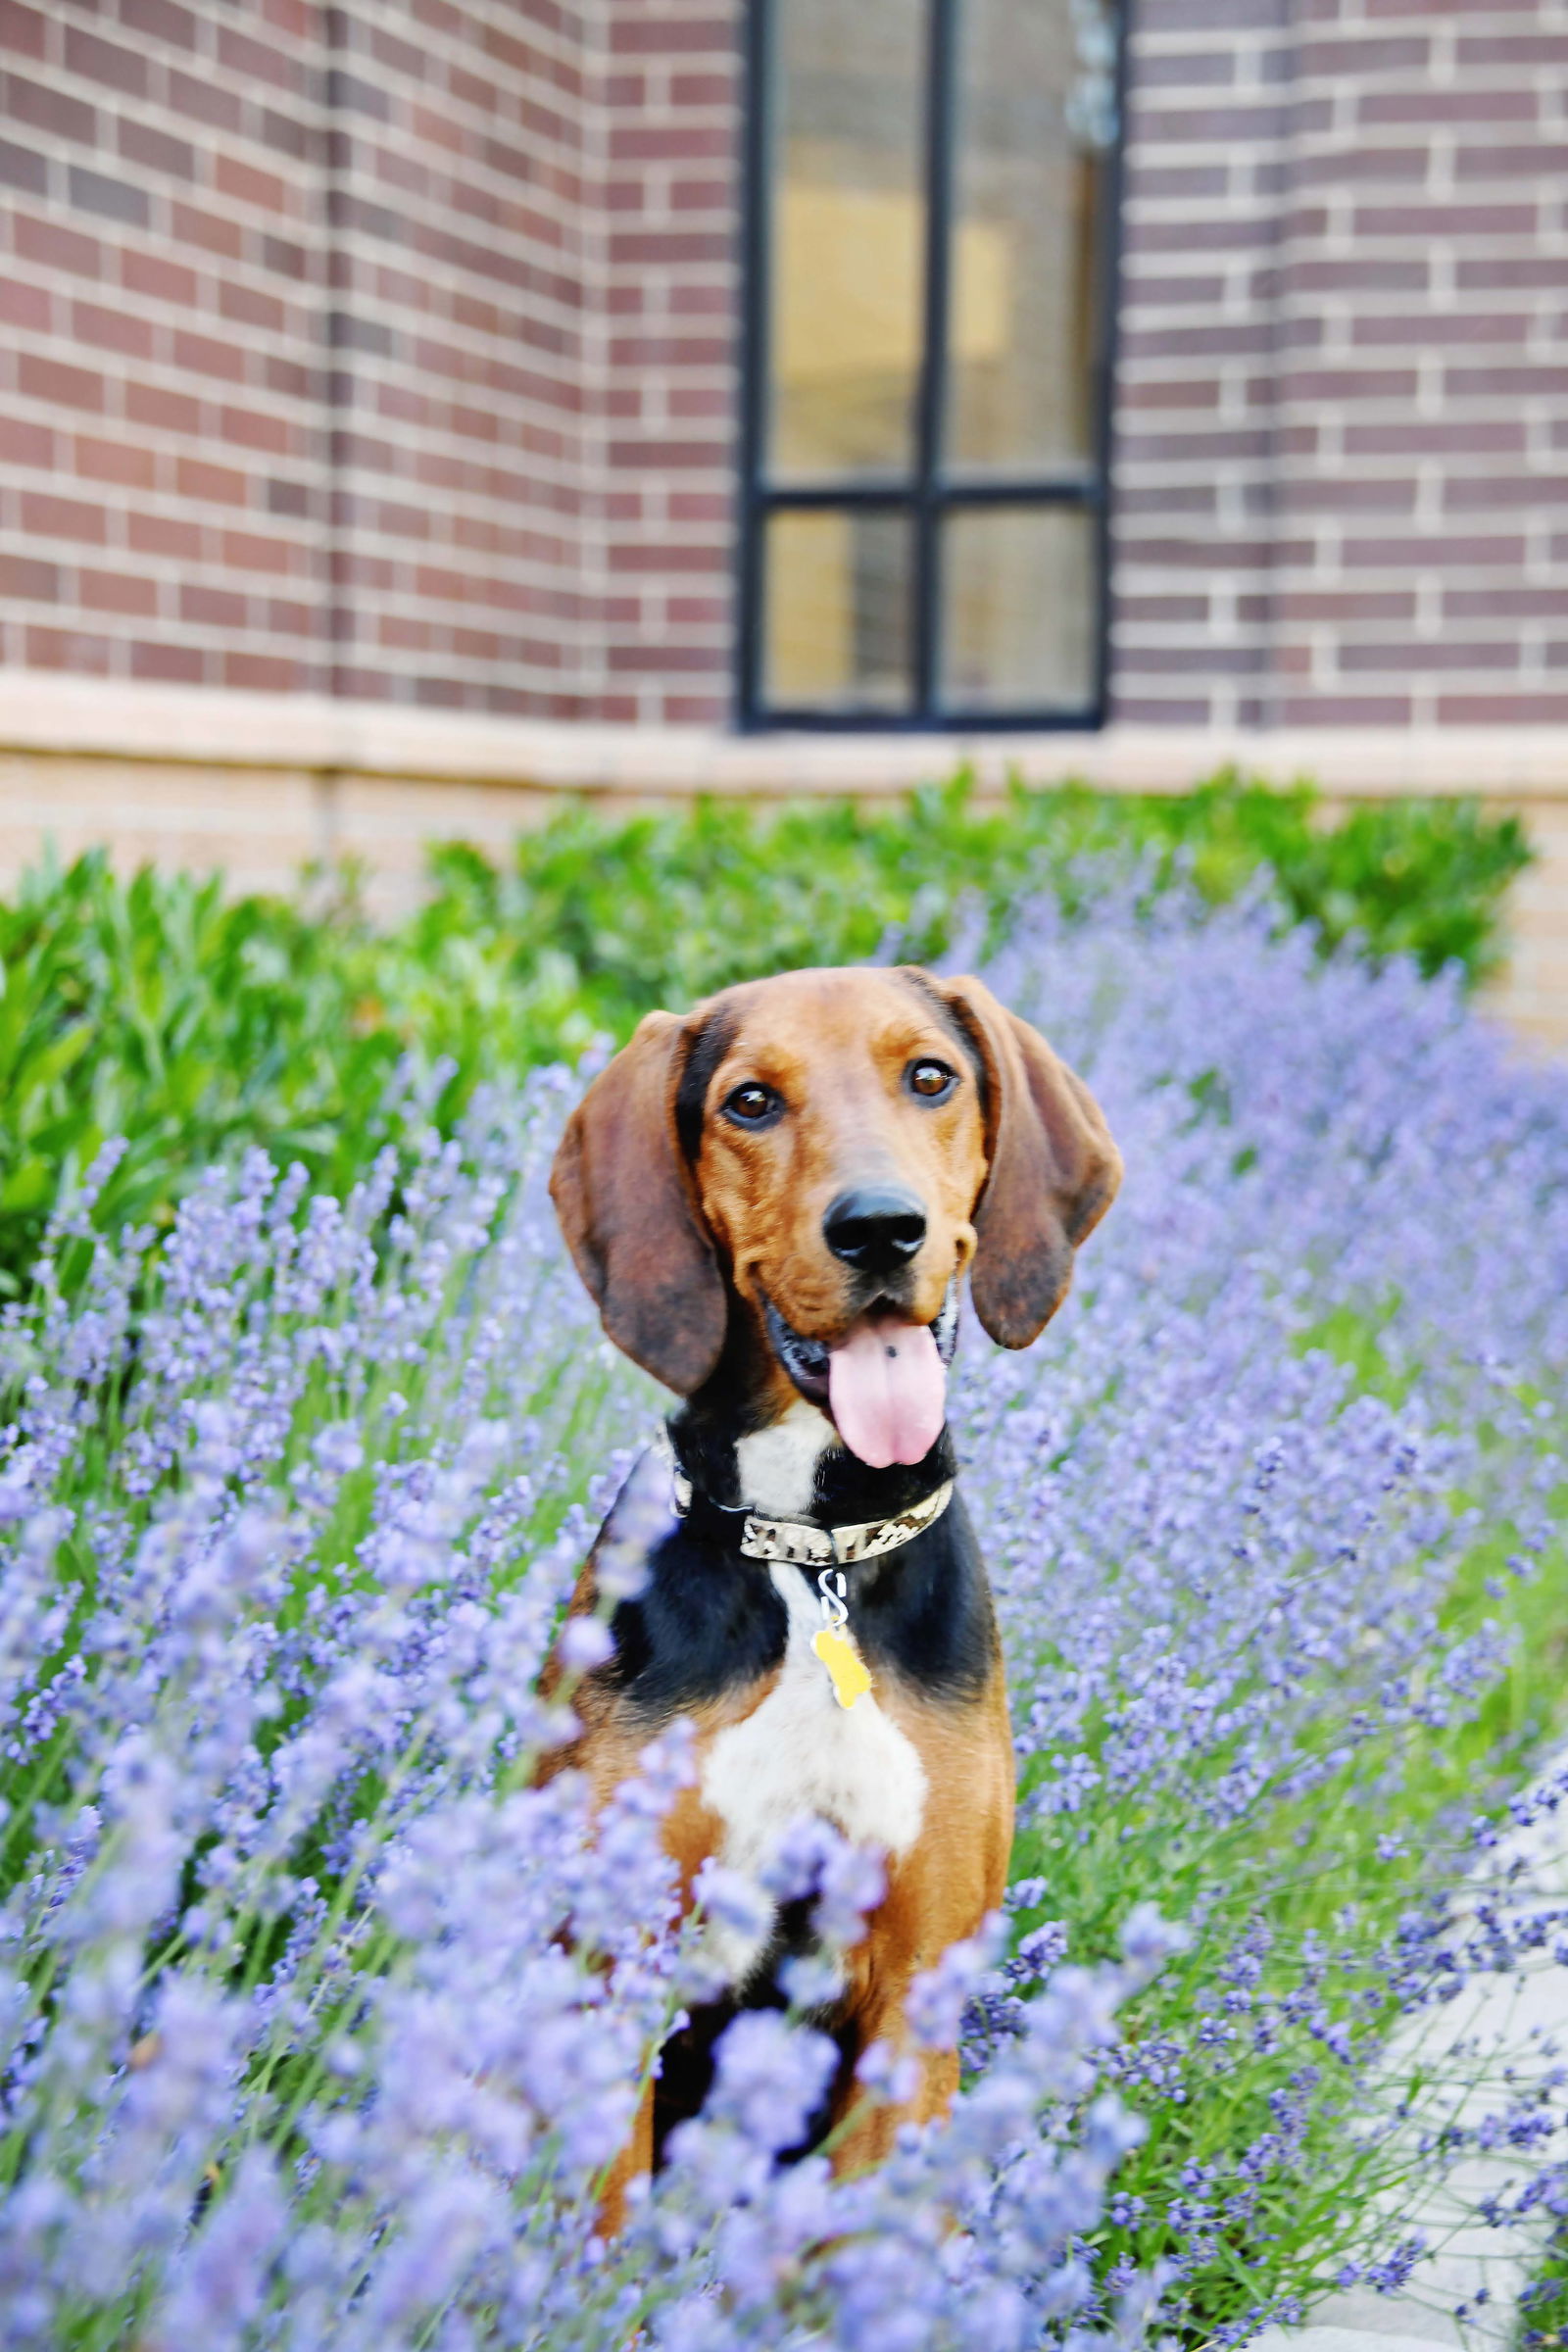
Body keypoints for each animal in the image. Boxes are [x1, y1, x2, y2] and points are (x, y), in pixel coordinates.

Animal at [545, 955, 1123, 2201]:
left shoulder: (911, 2006)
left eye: (931, 1077)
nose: (879, 1230)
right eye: (751, 1102)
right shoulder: (620, 1976)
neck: (811, 1557)